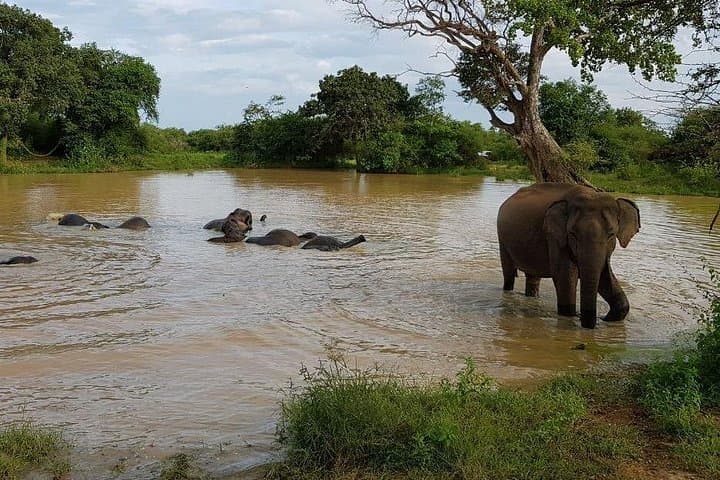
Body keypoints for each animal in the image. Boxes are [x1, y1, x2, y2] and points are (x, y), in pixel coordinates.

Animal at [497, 183, 640, 329]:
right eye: (572, 234)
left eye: (611, 234)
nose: (601, 318)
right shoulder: (554, 236)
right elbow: (564, 275)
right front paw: (571, 316)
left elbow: (605, 275)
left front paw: (608, 319)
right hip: (502, 239)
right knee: (509, 274)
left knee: (533, 277)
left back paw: (533, 297)